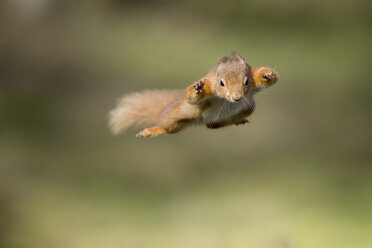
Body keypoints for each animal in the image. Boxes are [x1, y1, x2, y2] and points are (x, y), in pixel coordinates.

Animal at [109, 51, 278, 138]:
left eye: (246, 82)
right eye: (221, 83)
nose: (236, 98)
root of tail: (201, 121)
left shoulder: (252, 77)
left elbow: (273, 78)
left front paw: (267, 74)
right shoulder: (209, 83)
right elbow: (190, 96)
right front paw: (198, 88)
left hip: (248, 108)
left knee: (213, 126)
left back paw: (237, 120)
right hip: (176, 116)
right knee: (168, 127)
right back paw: (153, 130)